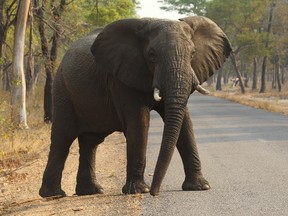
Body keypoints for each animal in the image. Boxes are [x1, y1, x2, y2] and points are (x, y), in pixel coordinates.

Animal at [38, 16, 232, 197]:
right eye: (152, 55)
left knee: (90, 142)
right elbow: (139, 123)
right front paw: (139, 190)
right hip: (62, 89)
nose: (155, 192)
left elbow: (185, 123)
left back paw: (91, 191)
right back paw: (54, 194)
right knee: (63, 137)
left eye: (192, 54)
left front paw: (200, 187)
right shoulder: (121, 77)